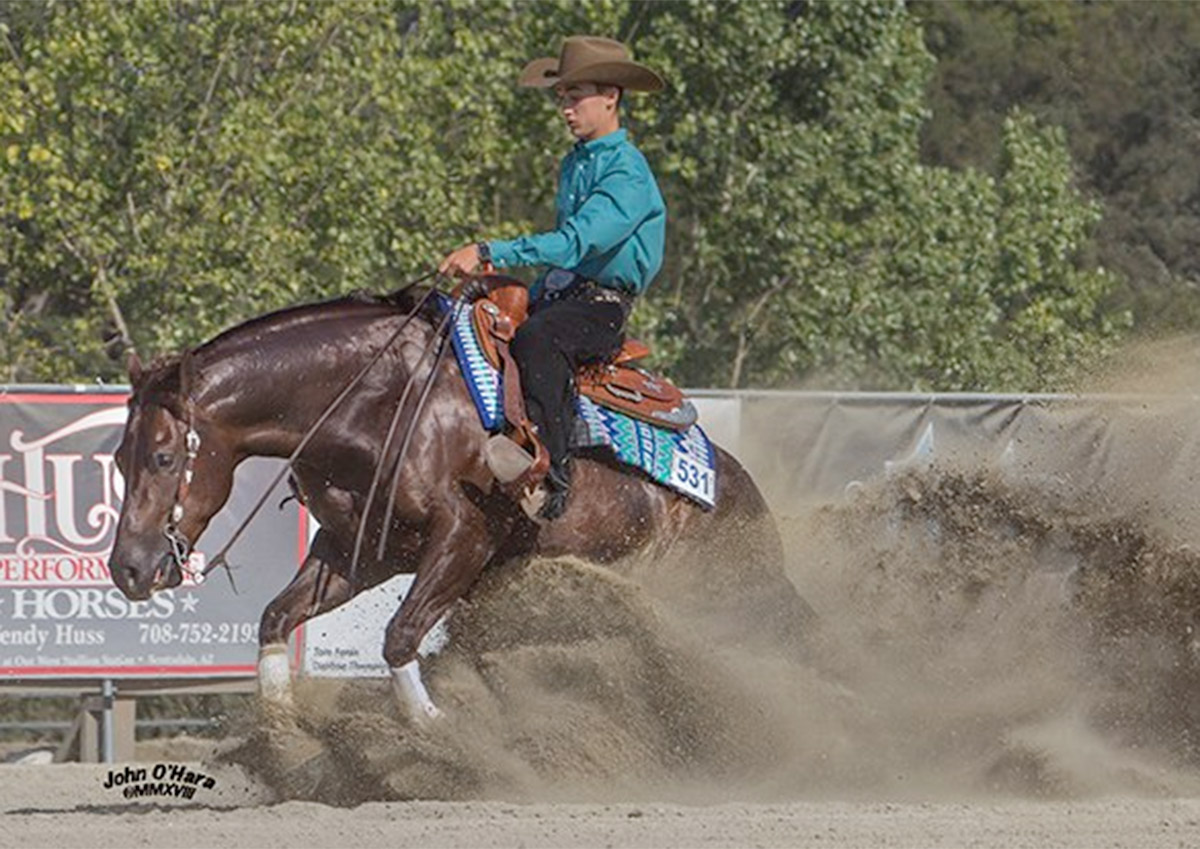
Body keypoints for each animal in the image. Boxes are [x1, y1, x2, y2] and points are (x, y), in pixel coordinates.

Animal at [110, 285, 816, 724]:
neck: (375, 399)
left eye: (165, 458)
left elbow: (400, 635)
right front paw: (280, 727)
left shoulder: (464, 538)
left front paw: (433, 729)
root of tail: (736, 487)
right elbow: (277, 617)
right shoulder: (358, 551)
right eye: (119, 459)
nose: (128, 569)